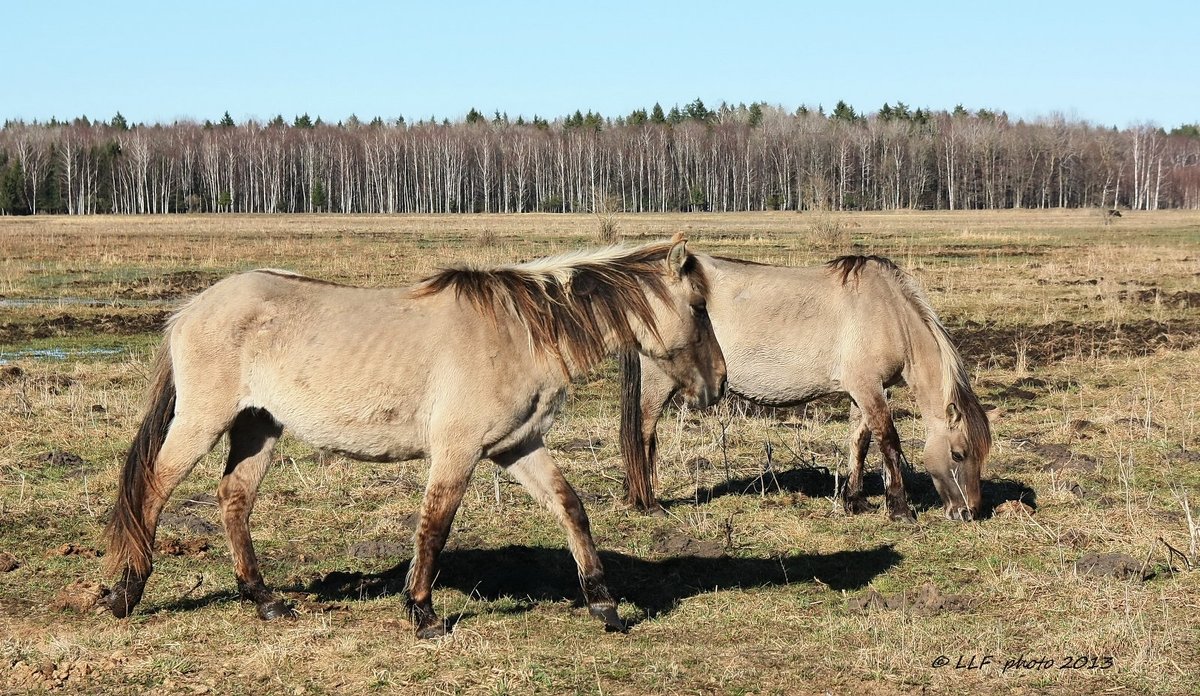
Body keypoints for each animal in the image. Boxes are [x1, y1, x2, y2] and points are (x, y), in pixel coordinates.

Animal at [103, 236, 720, 638]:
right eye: (698, 306)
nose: (717, 384)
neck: (519, 333)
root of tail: (191, 308)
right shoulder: (458, 451)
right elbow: (435, 526)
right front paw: (422, 614)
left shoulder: (517, 447)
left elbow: (571, 508)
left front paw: (604, 606)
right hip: (203, 421)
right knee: (152, 491)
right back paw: (126, 593)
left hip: (259, 426)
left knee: (234, 500)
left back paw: (265, 601)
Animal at [624, 255, 988, 523]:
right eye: (959, 453)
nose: (968, 513)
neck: (890, 312)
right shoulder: (868, 388)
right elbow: (888, 441)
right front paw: (899, 509)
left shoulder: (863, 390)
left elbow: (859, 441)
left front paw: (855, 501)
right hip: (659, 381)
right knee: (643, 431)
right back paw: (647, 502)